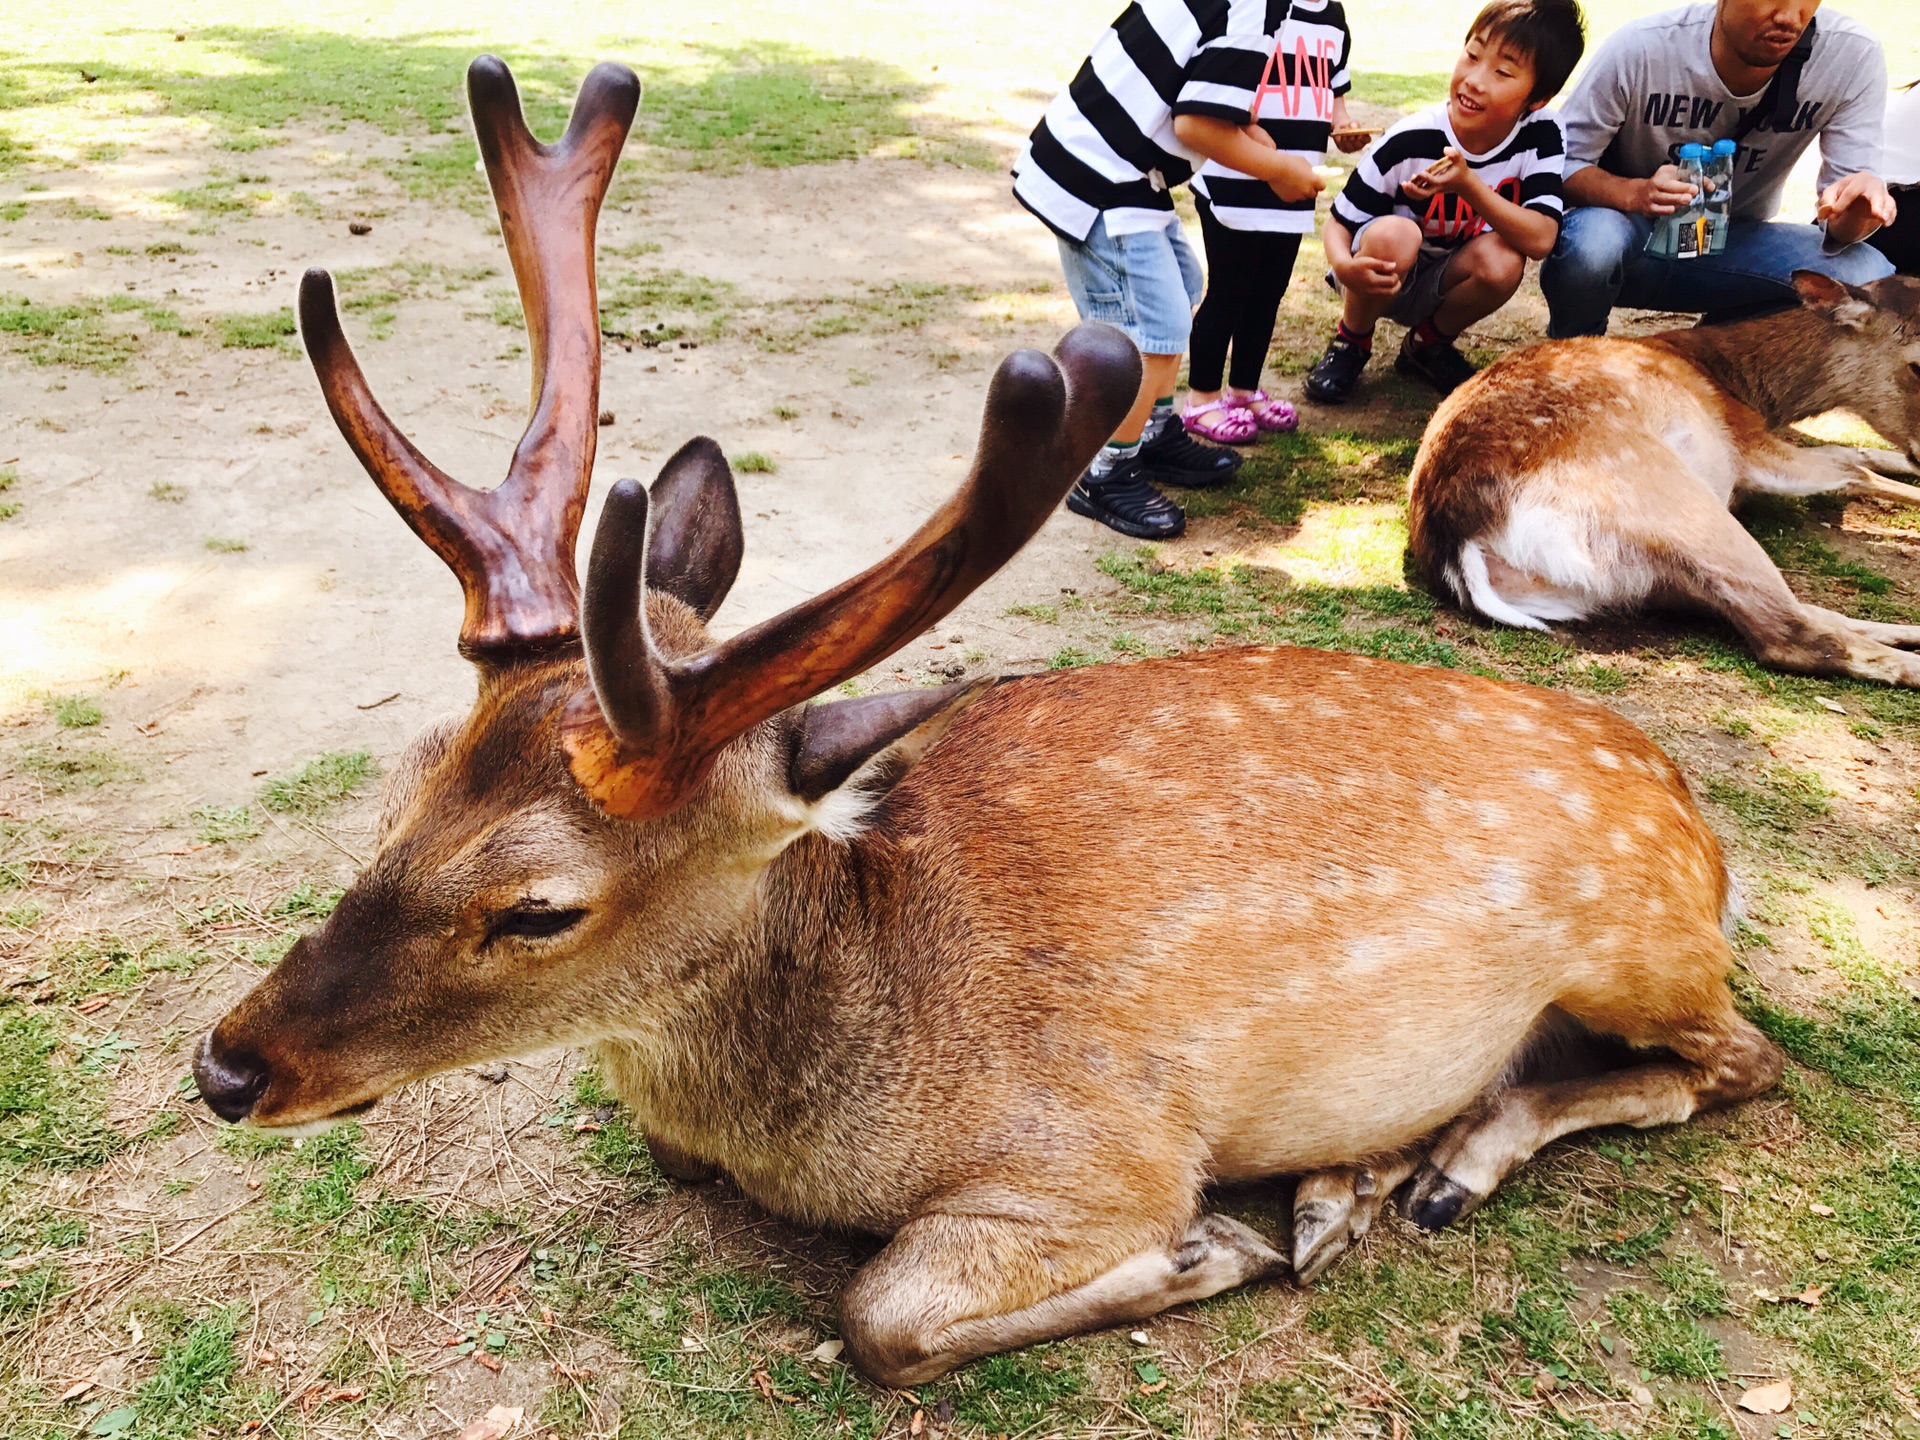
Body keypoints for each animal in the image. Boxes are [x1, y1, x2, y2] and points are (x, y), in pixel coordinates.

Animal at [194, 59, 1781, 1397]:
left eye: (538, 908)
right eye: (403, 786)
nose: (226, 1066)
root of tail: (1701, 829)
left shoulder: (1098, 1149)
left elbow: (881, 1314)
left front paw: (1209, 1248)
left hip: (1637, 944)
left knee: (1741, 1062)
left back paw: (1422, 1171)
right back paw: (1354, 1183)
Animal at [1405, 272, 1920, 683]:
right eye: (1917, 361)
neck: (1737, 382)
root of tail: (1458, 542)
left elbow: (1852, 451)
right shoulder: (1748, 446)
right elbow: (1853, 469)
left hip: (1642, 581)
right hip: (1675, 505)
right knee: (1791, 633)